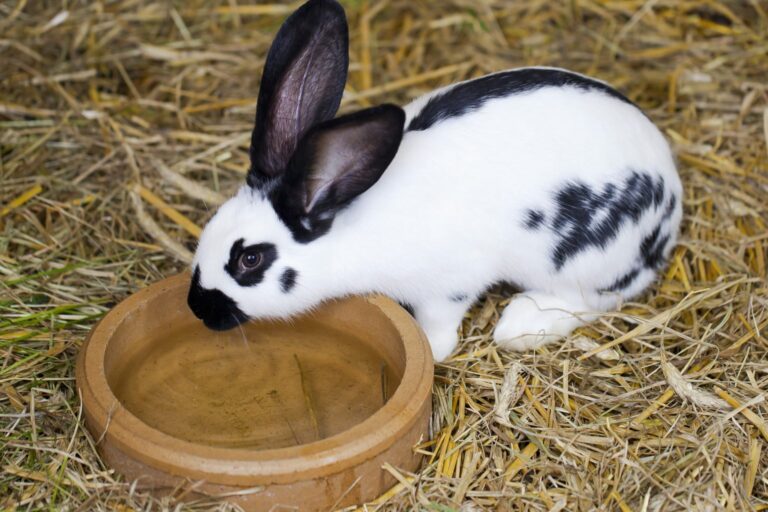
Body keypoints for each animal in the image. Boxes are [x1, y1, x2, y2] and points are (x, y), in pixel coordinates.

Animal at [187, 0, 682, 362]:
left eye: (250, 260)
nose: (197, 308)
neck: (348, 229)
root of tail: (672, 198)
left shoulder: (449, 285)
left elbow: (439, 329)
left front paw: (431, 351)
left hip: (579, 261)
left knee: (597, 298)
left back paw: (521, 325)